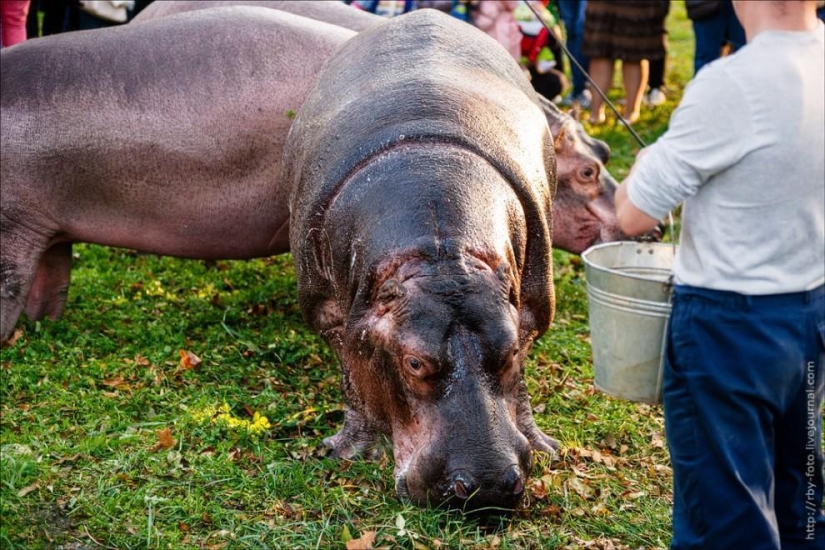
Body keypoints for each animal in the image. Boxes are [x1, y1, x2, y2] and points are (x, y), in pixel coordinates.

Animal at [283, 9, 558, 511]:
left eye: (508, 349)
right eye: (413, 363)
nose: (488, 485)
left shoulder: (530, 306)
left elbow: (524, 379)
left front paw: (543, 444)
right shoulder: (328, 312)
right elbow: (352, 378)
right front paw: (348, 451)